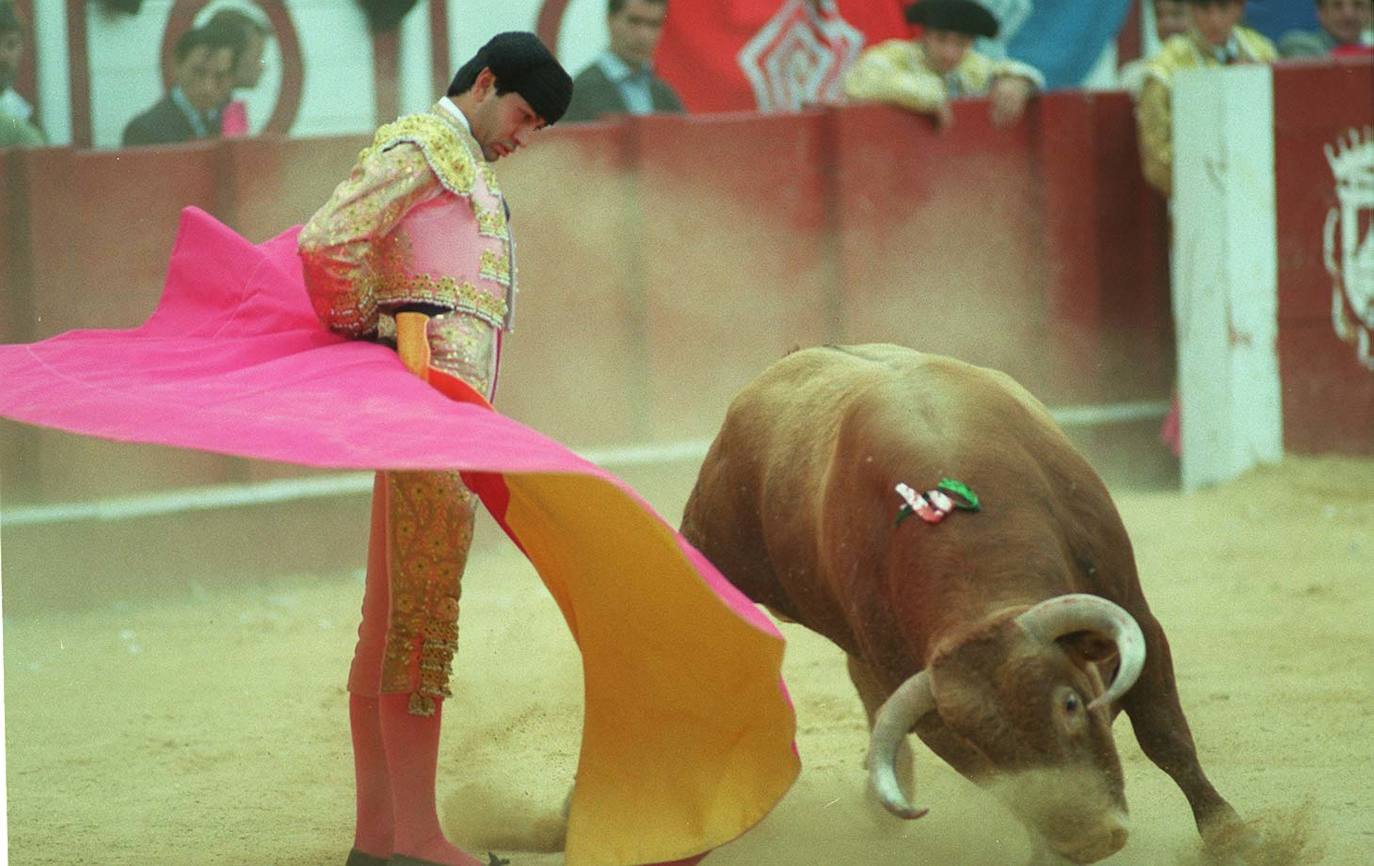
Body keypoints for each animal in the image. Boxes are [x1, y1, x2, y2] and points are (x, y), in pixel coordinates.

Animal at [681, 346, 1253, 866]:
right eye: (987, 746)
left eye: (1070, 704)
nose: (1088, 840)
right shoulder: (927, 705)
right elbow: (1008, 790)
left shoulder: (1135, 610)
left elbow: (1164, 733)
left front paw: (1229, 835)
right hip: (716, 550)